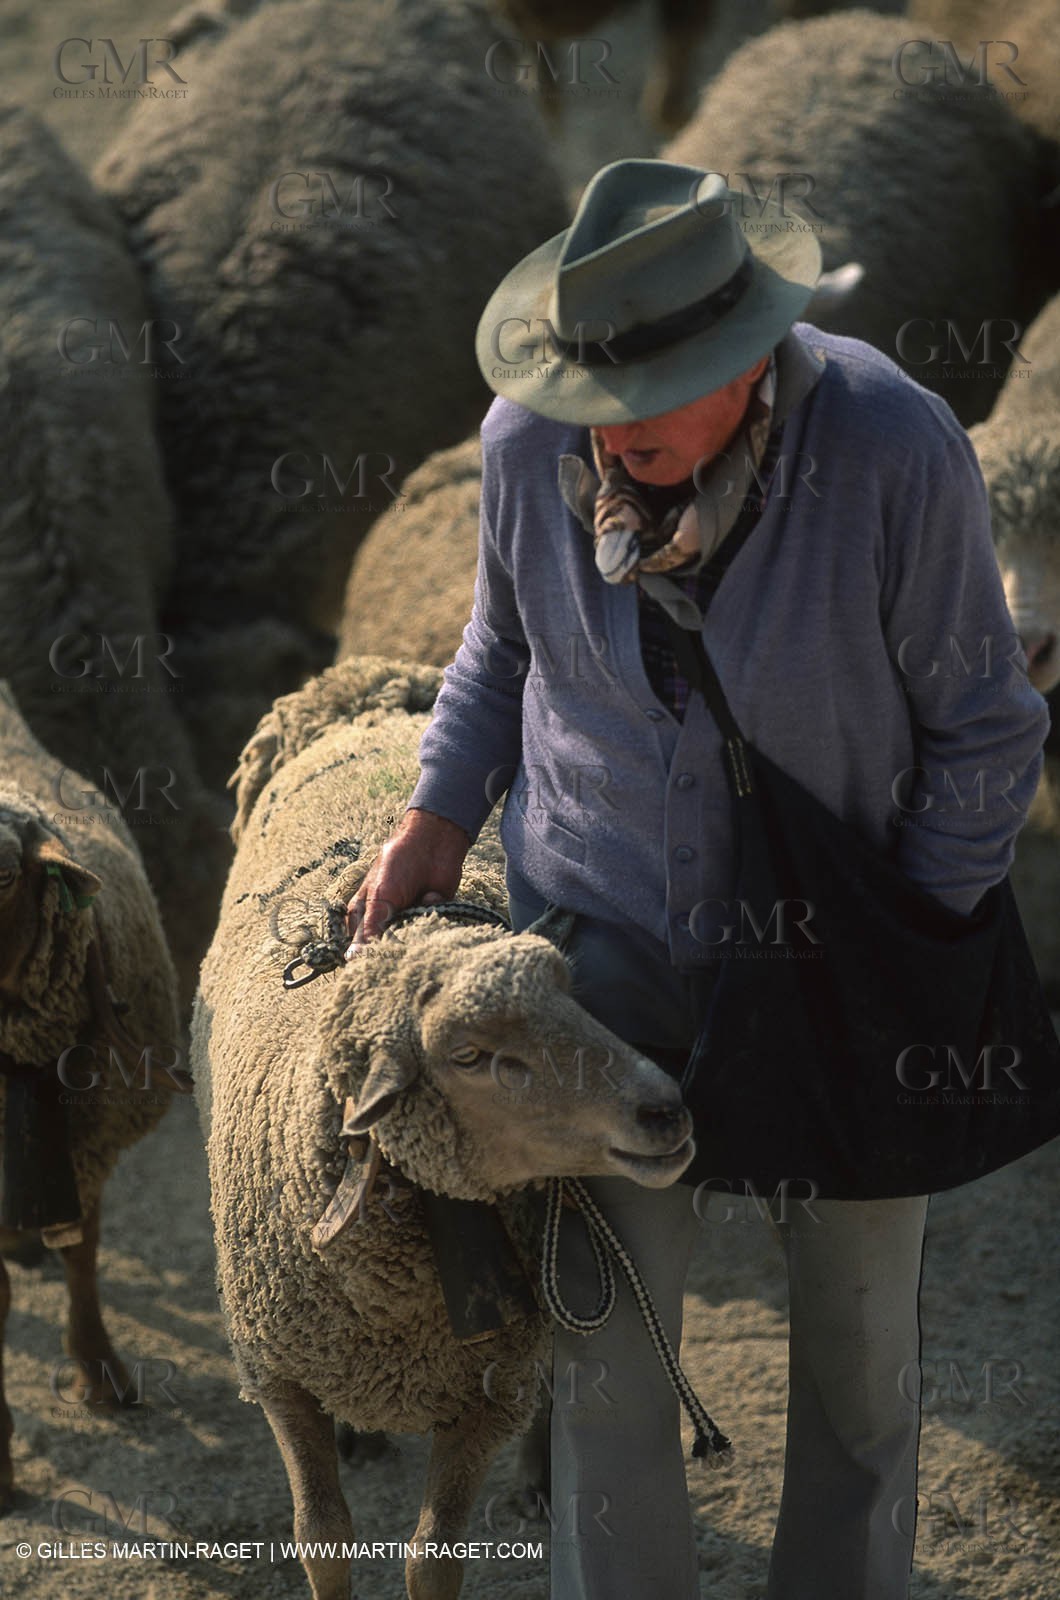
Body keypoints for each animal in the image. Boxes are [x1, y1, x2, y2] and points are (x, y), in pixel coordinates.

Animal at [192, 653, 697, 1600]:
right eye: (469, 1054)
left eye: (573, 993)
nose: (667, 1109)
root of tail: (372, 674)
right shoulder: (278, 1373)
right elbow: (322, 1537)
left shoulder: (484, 1392)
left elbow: (435, 1558)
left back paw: (540, 1483)